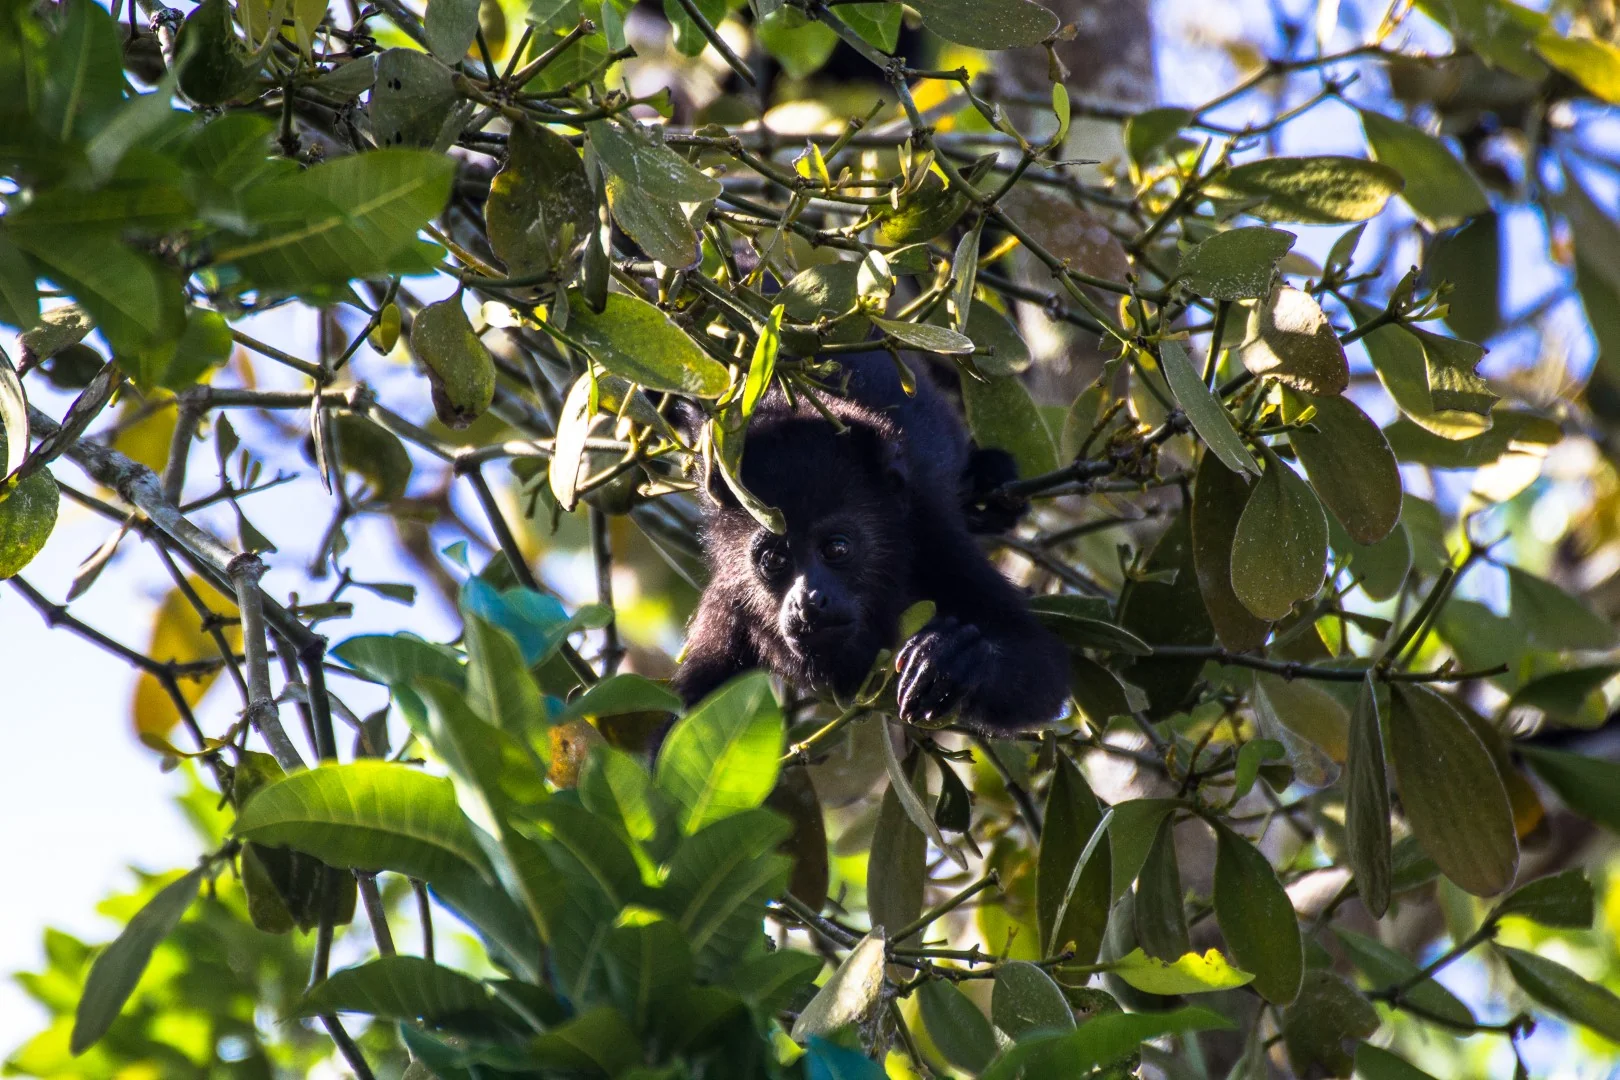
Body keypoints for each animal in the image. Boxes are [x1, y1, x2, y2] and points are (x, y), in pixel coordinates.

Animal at [670, 353, 1070, 734]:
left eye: (836, 548)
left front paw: (957, 658)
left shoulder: (935, 542)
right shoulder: (729, 608)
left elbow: (1042, 667)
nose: (808, 602)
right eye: (773, 559)